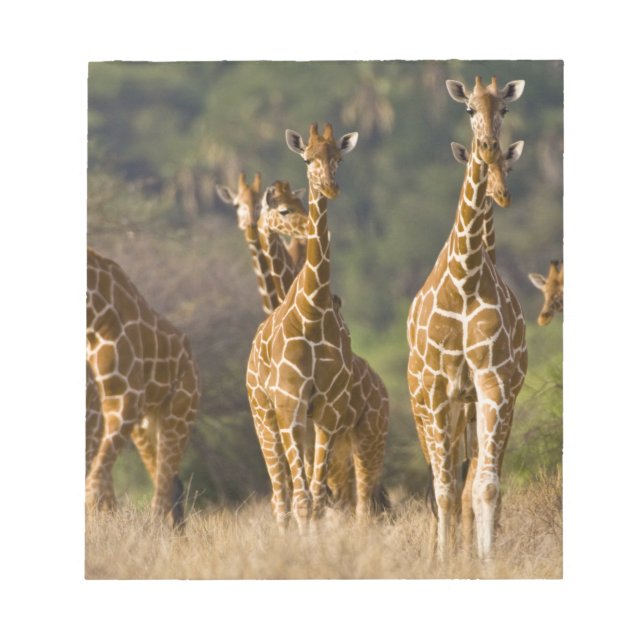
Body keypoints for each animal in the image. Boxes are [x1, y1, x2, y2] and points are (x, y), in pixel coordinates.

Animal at [86, 248, 200, 528]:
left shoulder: (126, 396)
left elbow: (96, 478)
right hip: (145, 429)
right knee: (171, 485)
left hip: (179, 414)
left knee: (164, 488)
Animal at [247, 122, 387, 532]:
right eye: (308, 159)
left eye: (338, 157)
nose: (330, 187)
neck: (312, 311)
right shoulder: (290, 406)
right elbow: (302, 499)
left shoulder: (325, 412)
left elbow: (317, 499)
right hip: (264, 415)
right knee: (281, 496)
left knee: (351, 501)